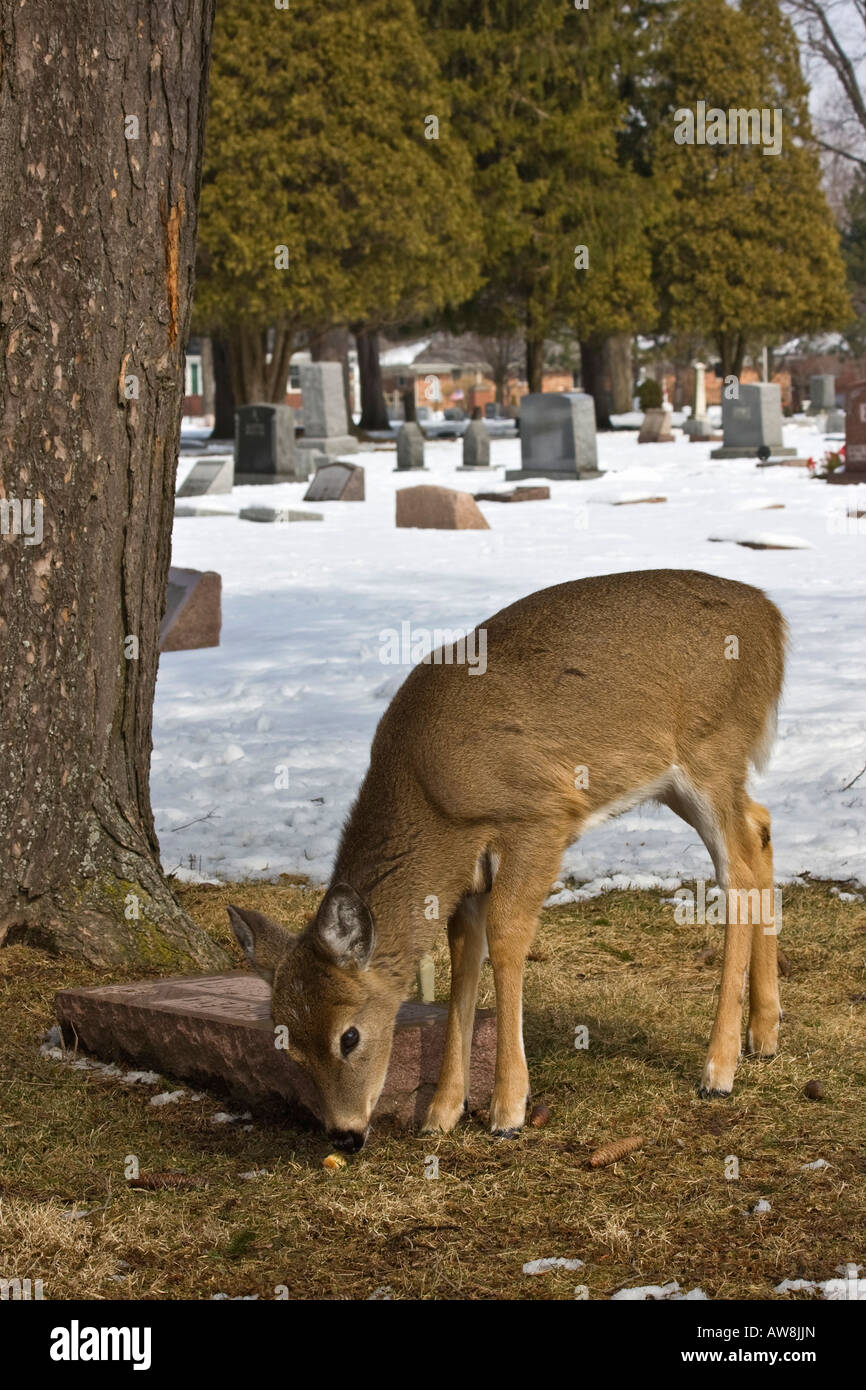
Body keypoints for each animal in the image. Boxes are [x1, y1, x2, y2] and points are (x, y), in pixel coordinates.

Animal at [226, 564, 789, 1150]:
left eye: (349, 1036)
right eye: (288, 1048)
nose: (344, 1135)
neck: (432, 798)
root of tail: (772, 618)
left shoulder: (538, 818)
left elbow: (507, 934)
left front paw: (507, 1110)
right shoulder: (466, 871)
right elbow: (463, 954)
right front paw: (442, 1111)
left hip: (712, 748)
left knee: (737, 868)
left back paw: (718, 1069)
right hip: (679, 780)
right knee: (761, 827)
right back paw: (764, 1032)